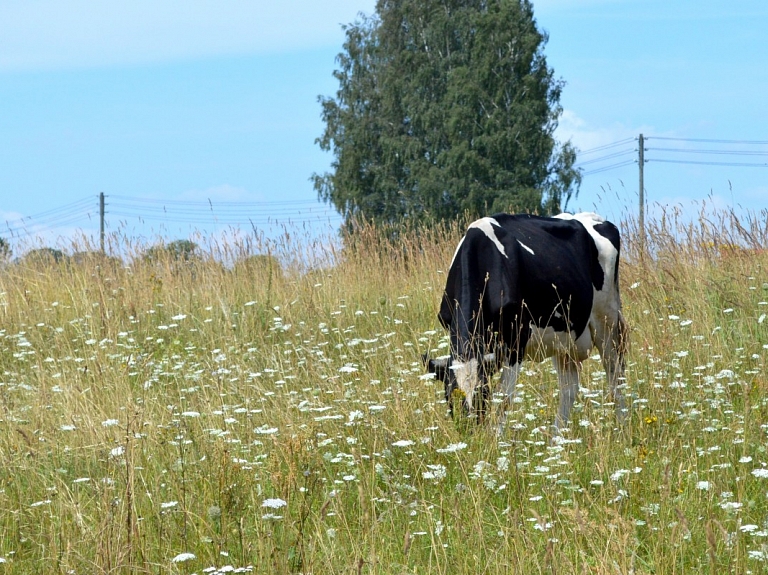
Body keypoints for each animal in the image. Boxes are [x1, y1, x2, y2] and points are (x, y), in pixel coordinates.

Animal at [426, 213, 632, 436]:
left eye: (483, 392)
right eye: (449, 396)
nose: (469, 431)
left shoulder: (516, 342)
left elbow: (504, 399)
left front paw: (498, 440)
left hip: (608, 322)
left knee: (615, 378)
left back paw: (622, 430)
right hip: (564, 341)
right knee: (569, 389)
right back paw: (556, 439)